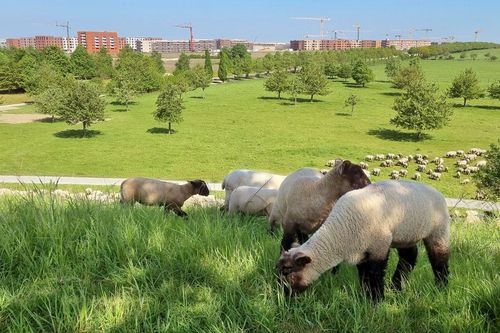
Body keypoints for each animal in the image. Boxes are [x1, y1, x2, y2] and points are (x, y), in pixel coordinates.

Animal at [276, 180, 452, 300]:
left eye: (287, 271)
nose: (282, 296)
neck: (342, 231)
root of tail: (436, 191)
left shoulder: (379, 246)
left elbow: (375, 274)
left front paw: (376, 301)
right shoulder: (361, 253)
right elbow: (364, 276)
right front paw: (364, 296)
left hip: (438, 231)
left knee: (439, 259)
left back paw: (441, 287)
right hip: (406, 234)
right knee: (409, 257)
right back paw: (396, 286)